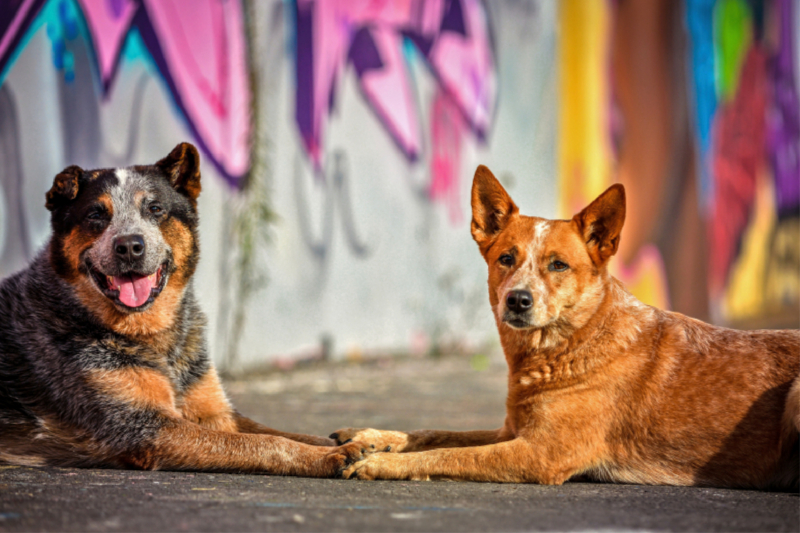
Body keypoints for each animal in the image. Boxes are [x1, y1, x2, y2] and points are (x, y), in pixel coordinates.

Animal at [0, 141, 368, 474]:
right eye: (95, 214)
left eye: (155, 208)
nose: (129, 246)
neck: (153, 336)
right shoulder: (144, 427)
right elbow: (267, 443)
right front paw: (330, 456)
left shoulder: (215, 411)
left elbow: (289, 433)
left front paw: (362, 441)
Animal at [332, 164, 800, 488]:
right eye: (506, 258)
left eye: (558, 265)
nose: (518, 299)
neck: (570, 342)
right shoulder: (512, 430)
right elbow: (432, 433)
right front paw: (368, 436)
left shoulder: (541, 452)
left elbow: (449, 455)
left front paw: (380, 461)